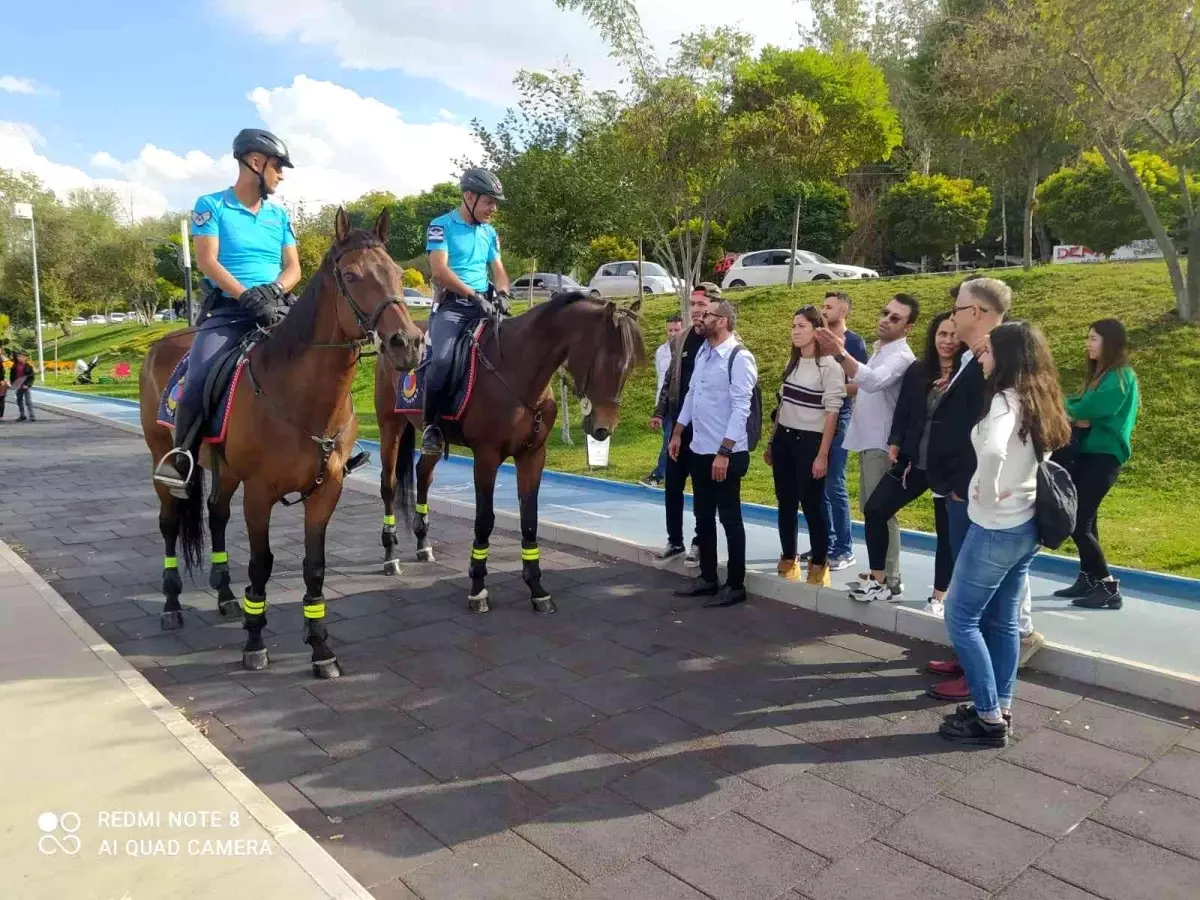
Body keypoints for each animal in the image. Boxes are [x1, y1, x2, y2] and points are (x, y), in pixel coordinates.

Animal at [138, 210, 422, 676]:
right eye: (351, 275)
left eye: (398, 273)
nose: (409, 343)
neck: (297, 393)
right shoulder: (259, 494)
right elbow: (261, 564)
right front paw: (255, 641)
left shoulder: (326, 490)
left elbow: (315, 567)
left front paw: (320, 646)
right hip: (165, 460)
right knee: (169, 523)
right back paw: (172, 604)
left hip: (224, 471)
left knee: (216, 515)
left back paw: (225, 596)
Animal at [376, 292, 648, 619]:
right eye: (604, 362)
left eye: (629, 366)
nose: (602, 429)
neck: (517, 371)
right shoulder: (486, 457)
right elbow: (484, 520)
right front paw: (478, 588)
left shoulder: (532, 456)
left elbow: (529, 520)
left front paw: (537, 589)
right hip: (390, 425)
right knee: (389, 484)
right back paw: (390, 555)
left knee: (423, 474)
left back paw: (423, 544)